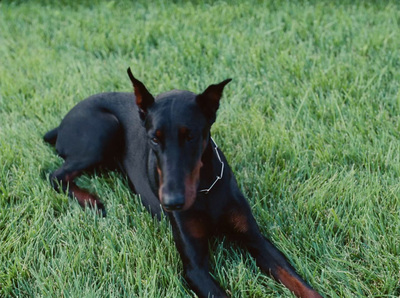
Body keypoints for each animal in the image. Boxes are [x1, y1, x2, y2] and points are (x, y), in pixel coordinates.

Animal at [43, 68, 322, 298]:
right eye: (153, 139)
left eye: (191, 137)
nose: (172, 203)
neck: (204, 190)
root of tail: (61, 124)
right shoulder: (194, 268)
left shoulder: (256, 239)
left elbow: (296, 280)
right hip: (104, 128)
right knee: (54, 176)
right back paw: (91, 201)